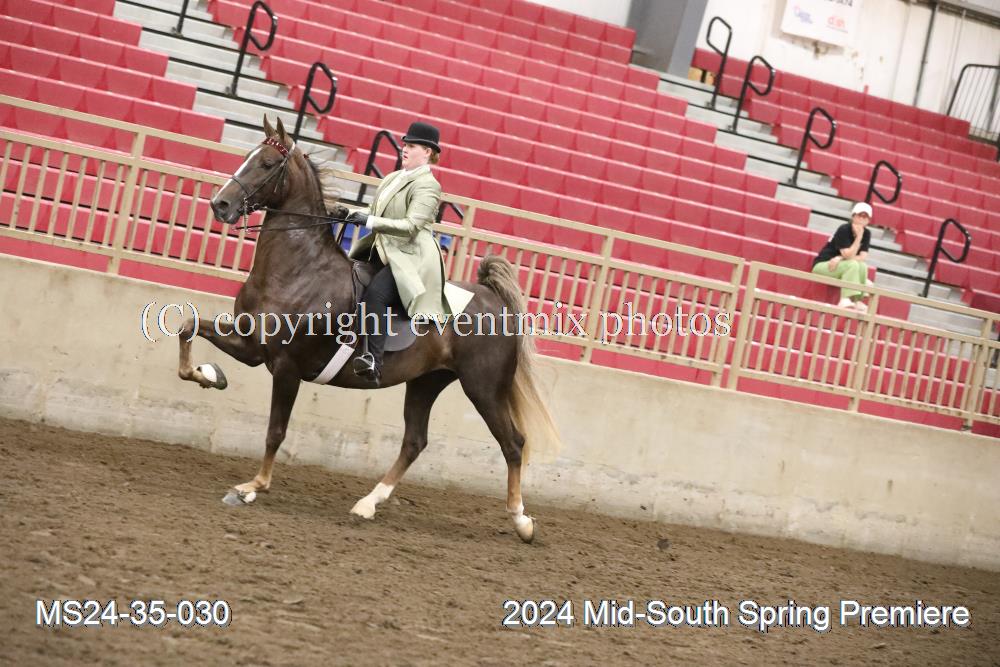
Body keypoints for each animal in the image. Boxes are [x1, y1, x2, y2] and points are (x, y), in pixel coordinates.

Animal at [177, 116, 561, 542]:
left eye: (266, 164)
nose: (221, 205)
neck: (297, 270)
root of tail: (493, 300)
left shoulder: (287, 367)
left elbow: (276, 430)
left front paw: (252, 487)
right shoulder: (251, 346)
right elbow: (188, 326)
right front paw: (209, 375)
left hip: (483, 387)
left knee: (513, 444)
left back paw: (522, 521)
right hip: (427, 382)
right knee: (415, 441)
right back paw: (368, 504)